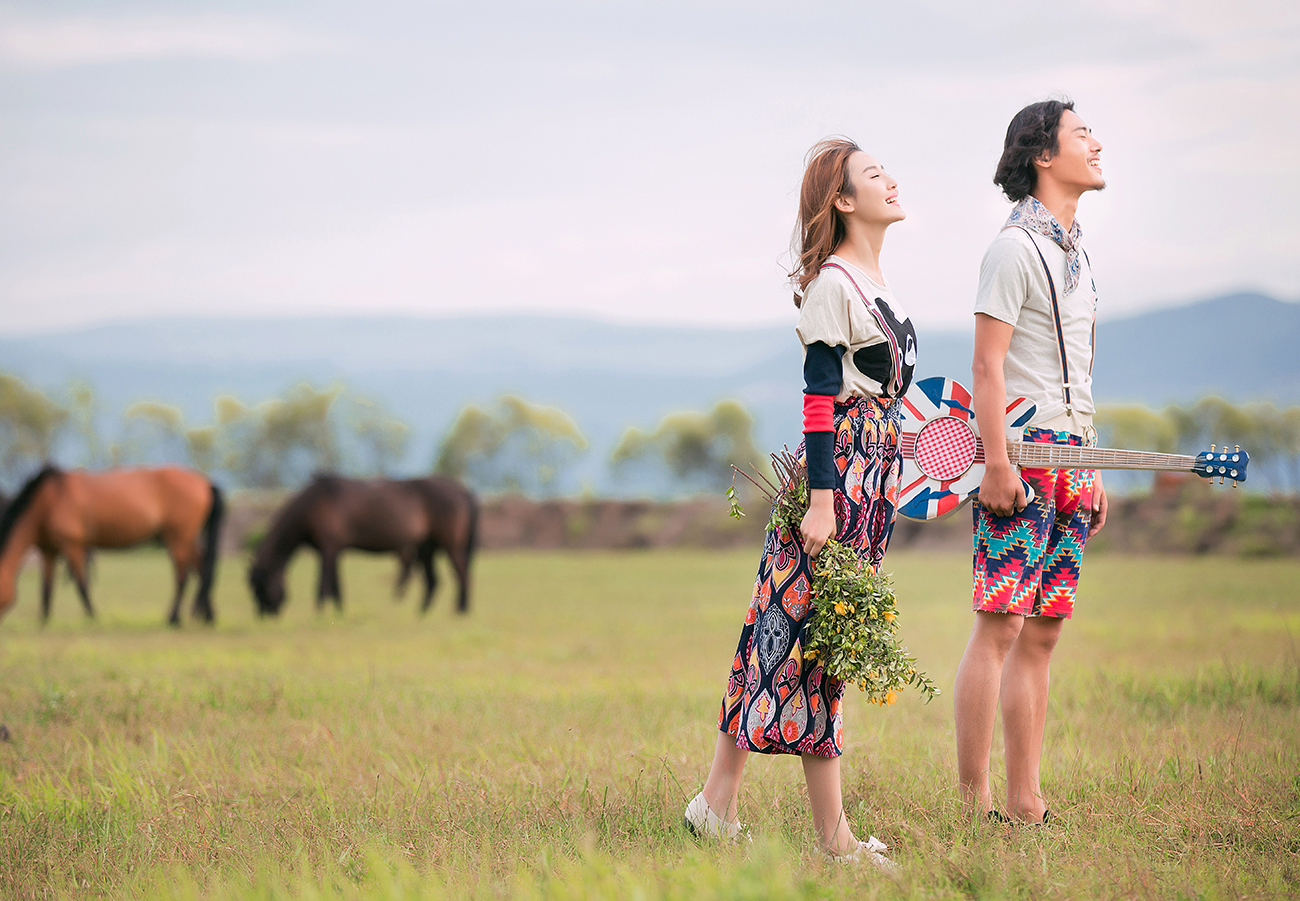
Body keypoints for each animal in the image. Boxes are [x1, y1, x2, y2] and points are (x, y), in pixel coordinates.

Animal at [0, 462, 223, 626]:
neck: (48, 501)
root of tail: (205, 481)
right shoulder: (49, 551)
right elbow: (46, 589)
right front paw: (44, 620)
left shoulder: (73, 546)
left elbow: (81, 584)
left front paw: (92, 617)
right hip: (187, 539)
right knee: (201, 568)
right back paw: (208, 616)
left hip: (178, 539)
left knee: (182, 577)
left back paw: (173, 618)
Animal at [245, 473, 475, 616]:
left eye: (259, 586)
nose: (263, 615)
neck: (312, 505)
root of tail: (462, 490)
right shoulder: (335, 551)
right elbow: (336, 586)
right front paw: (339, 611)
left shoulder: (328, 549)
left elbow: (322, 585)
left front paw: (319, 612)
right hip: (428, 547)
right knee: (433, 581)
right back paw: (422, 612)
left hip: (450, 546)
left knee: (462, 575)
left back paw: (460, 610)